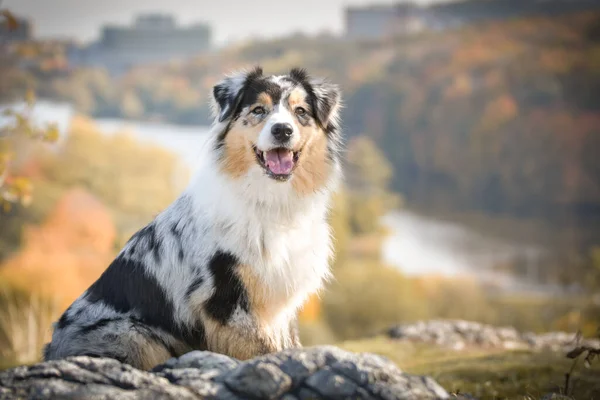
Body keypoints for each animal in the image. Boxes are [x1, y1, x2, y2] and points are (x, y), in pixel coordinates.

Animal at [43, 67, 342, 370]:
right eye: (259, 110)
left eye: (300, 111)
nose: (282, 129)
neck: (272, 200)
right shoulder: (226, 302)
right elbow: (262, 351)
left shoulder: (279, 306)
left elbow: (287, 346)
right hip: (134, 334)